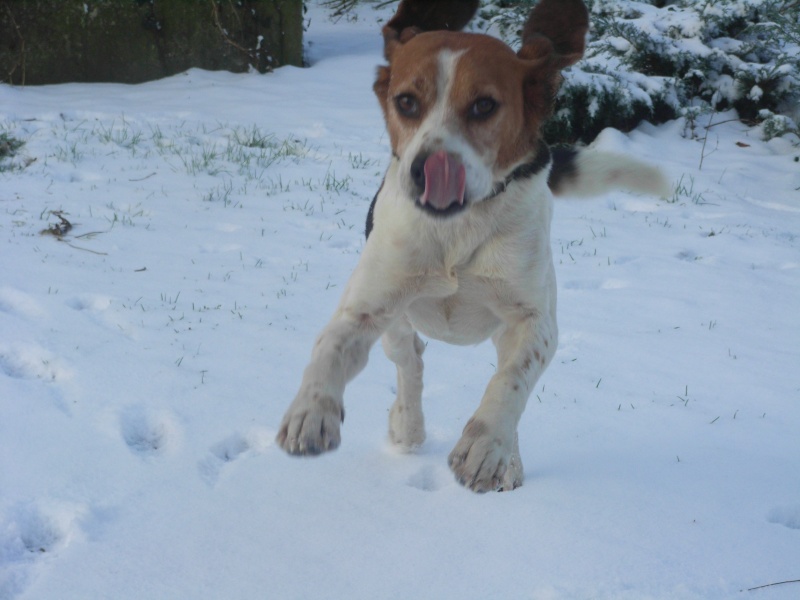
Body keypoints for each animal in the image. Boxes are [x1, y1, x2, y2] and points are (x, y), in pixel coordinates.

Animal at [276, 0, 668, 492]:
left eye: (484, 105)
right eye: (406, 102)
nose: (429, 170)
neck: (456, 230)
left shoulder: (535, 322)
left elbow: (510, 382)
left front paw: (485, 448)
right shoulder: (368, 305)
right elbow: (329, 348)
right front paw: (311, 412)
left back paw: (505, 460)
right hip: (396, 325)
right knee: (410, 362)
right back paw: (407, 426)